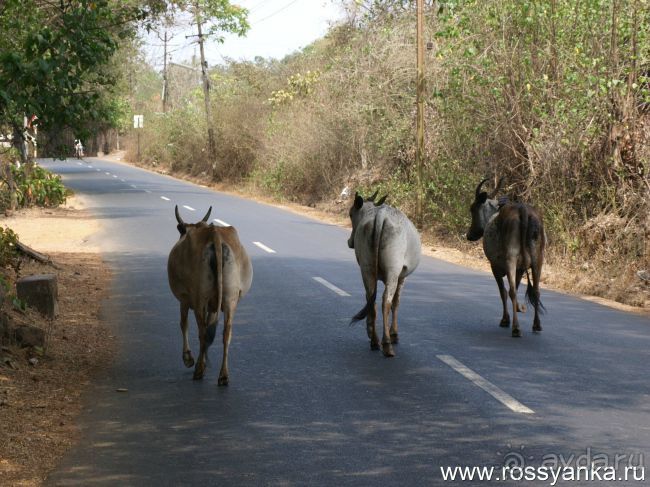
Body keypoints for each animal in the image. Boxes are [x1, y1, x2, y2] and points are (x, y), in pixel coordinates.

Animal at [168, 208, 252, 386]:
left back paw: (199, 369)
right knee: (226, 333)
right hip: (229, 299)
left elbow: (183, 324)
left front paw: (188, 359)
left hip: (200, 299)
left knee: (203, 332)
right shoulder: (213, 306)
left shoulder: (184, 298)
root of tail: (215, 234)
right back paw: (223, 375)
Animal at [350, 192, 420, 358]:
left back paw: (374, 340)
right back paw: (387, 343)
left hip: (367, 269)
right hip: (393, 271)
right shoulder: (402, 276)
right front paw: (394, 334)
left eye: (350, 214)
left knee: (371, 300)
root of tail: (380, 215)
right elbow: (396, 303)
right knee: (386, 301)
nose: (350, 241)